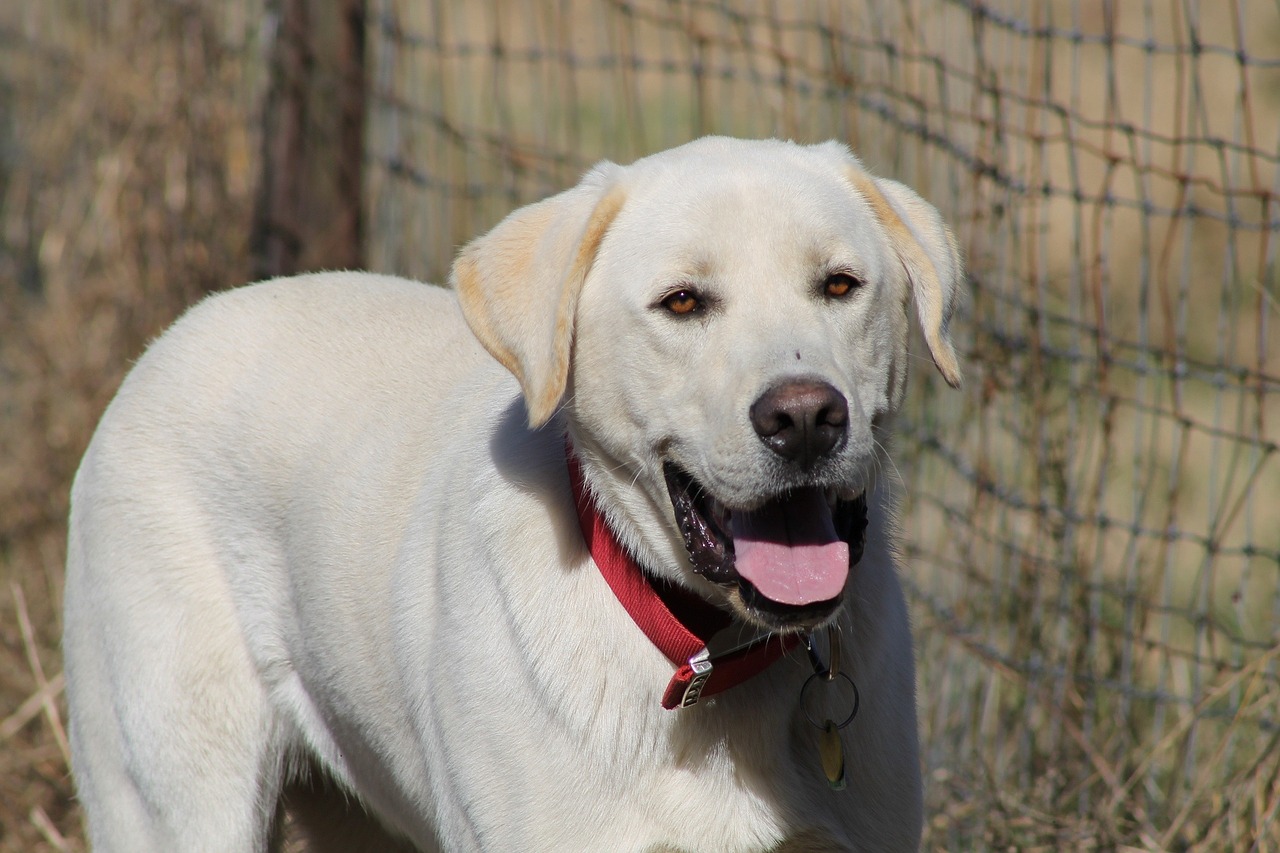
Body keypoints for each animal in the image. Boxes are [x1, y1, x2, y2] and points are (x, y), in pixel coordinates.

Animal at [60, 136, 962, 845]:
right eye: (681, 302)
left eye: (840, 284)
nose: (806, 418)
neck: (697, 653)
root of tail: (178, 331)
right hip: (176, 799)